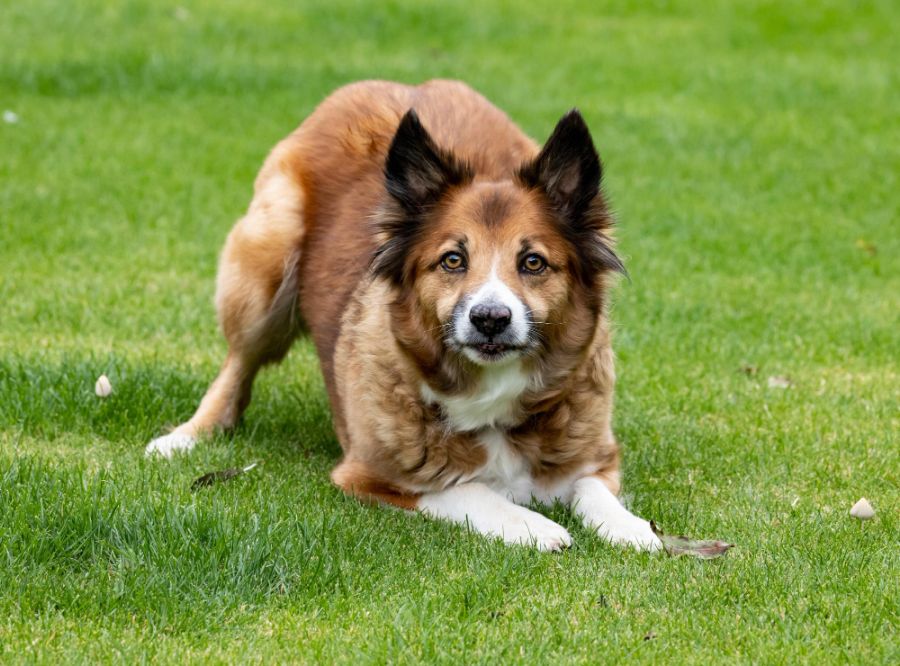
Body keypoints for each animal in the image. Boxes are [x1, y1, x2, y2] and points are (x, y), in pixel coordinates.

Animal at [148, 79, 660, 548]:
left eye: (533, 262)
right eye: (453, 259)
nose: (490, 318)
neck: (491, 397)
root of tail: (393, 85)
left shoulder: (598, 457)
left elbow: (592, 490)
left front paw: (631, 526)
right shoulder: (369, 474)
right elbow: (469, 489)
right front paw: (532, 524)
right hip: (268, 260)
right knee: (238, 363)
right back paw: (187, 436)